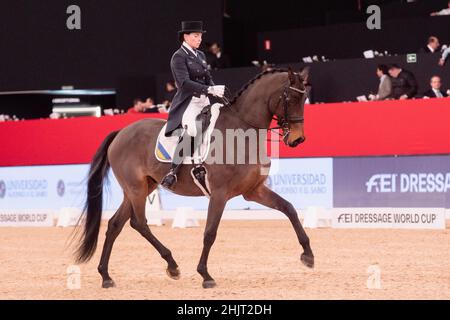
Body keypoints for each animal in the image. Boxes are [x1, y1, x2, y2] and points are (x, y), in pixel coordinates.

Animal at [74, 67, 312, 288]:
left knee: (116, 224)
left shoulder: (253, 191)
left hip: (141, 188)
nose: (297, 139)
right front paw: (205, 275)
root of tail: (120, 132)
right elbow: (210, 233)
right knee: (139, 223)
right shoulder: (219, 194)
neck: (243, 130)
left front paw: (308, 255)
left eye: (305, 98)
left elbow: (289, 208)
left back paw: (106, 276)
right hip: (136, 189)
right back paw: (171, 265)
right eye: (290, 98)